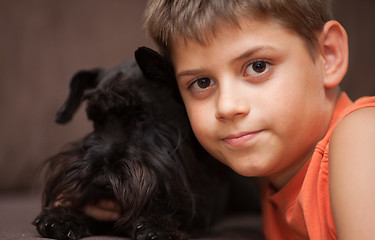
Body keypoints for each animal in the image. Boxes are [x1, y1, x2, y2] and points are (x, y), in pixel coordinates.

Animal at [33, 47, 234, 240]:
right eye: (96, 119)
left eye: (141, 116)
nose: (100, 181)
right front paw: (64, 216)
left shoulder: (203, 204)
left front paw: (157, 224)